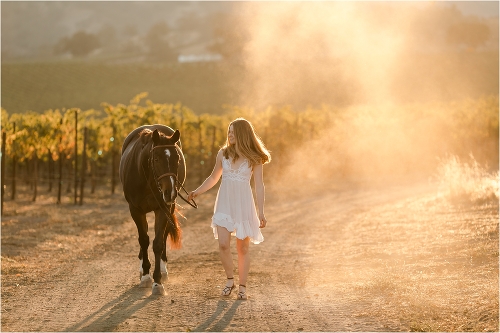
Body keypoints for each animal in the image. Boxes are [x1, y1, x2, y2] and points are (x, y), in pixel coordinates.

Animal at [119, 124, 186, 294]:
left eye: (177, 159)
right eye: (156, 158)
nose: (170, 192)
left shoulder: (163, 208)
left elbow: (158, 243)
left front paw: (157, 281)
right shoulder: (135, 210)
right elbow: (143, 240)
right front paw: (146, 276)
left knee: (164, 235)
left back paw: (163, 269)